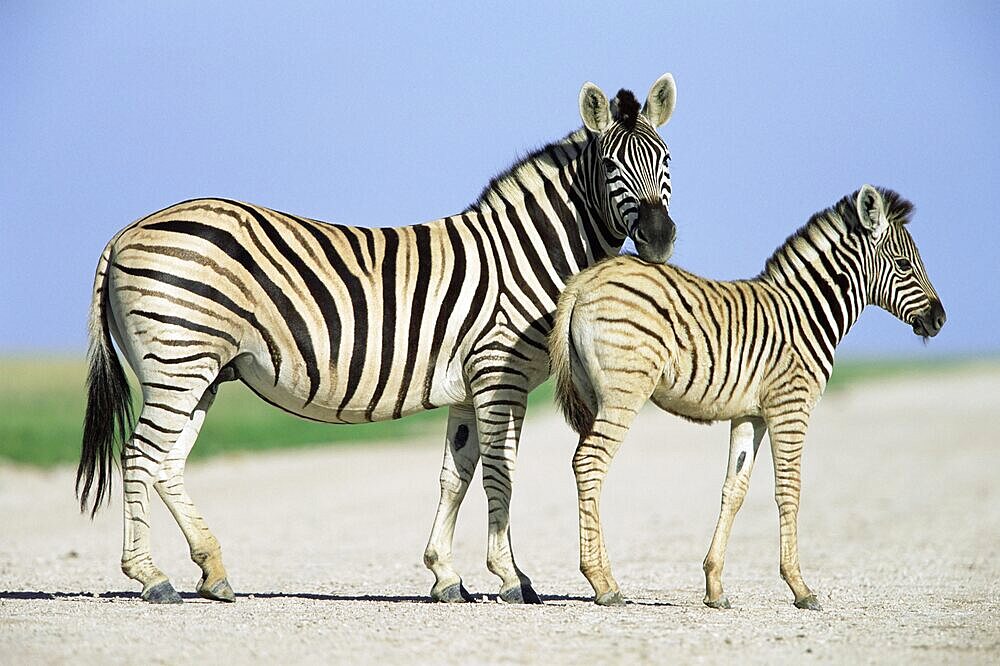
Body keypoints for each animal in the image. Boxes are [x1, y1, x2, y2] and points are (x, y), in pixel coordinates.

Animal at [78, 72, 680, 600]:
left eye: (668, 159)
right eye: (611, 165)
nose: (659, 238)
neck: (524, 254)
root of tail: (123, 234)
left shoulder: (468, 387)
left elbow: (456, 475)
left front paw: (445, 576)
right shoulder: (499, 374)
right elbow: (500, 473)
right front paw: (512, 579)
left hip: (198, 369)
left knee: (166, 463)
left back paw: (213, 572)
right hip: (178, 361)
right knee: (140, 456)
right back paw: (152, 578)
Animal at [552, 183, 948, 608]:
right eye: (904, 265)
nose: (940, 320)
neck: (805, 315)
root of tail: (583, 281)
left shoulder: (750, 415)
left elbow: (734, 490)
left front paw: (714, 586)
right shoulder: (790, 407)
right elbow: (789, 489)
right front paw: (800, 587)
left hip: (594, 396)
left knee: (587, 468)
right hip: (623, 392)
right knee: (590, 463)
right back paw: (604, 583)